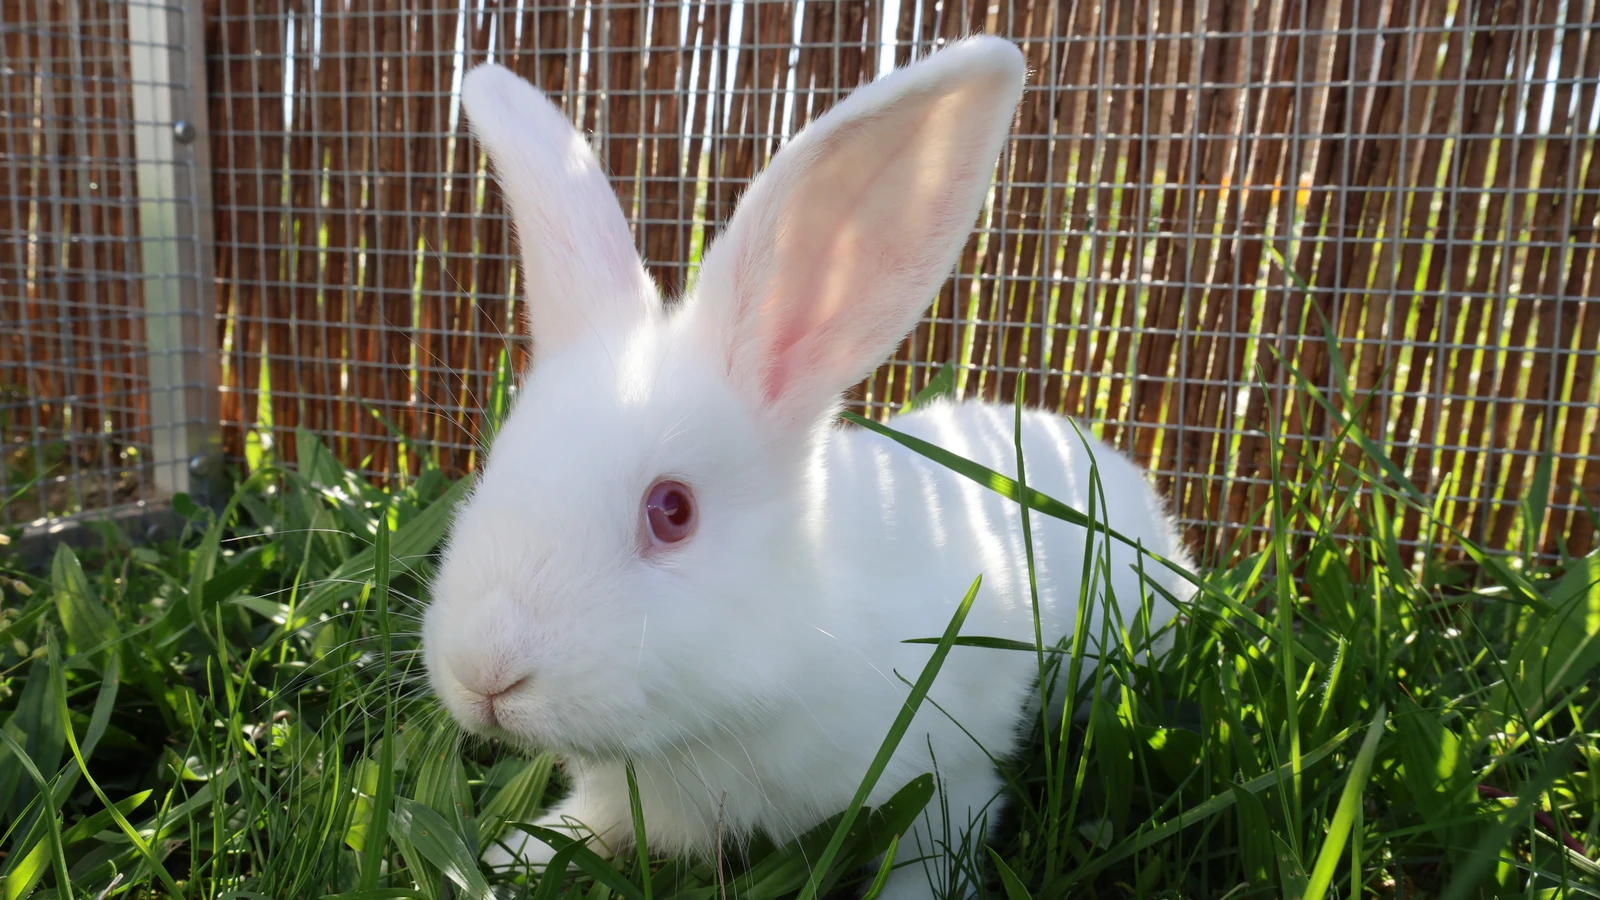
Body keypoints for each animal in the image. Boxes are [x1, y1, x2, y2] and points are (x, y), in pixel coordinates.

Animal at [422, 35, 1193, 900]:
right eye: (495, 467)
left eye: (672, 510)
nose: (484, 673)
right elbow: (587, 825)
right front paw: (503, 858)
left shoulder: (949, 781)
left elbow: (931, 855)